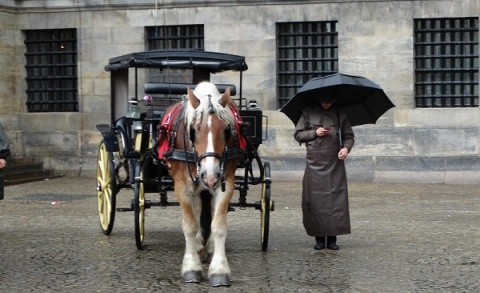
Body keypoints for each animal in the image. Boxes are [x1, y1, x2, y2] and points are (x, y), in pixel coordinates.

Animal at [160, 80, 246, 286]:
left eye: (225, 130)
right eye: (193, 130)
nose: (210, 175)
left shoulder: (225, 183)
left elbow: (219, 225)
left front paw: (219, 270)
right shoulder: (182, 186)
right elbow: (190, 225)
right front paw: (191, 267)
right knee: (197, 208)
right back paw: (199, 246)